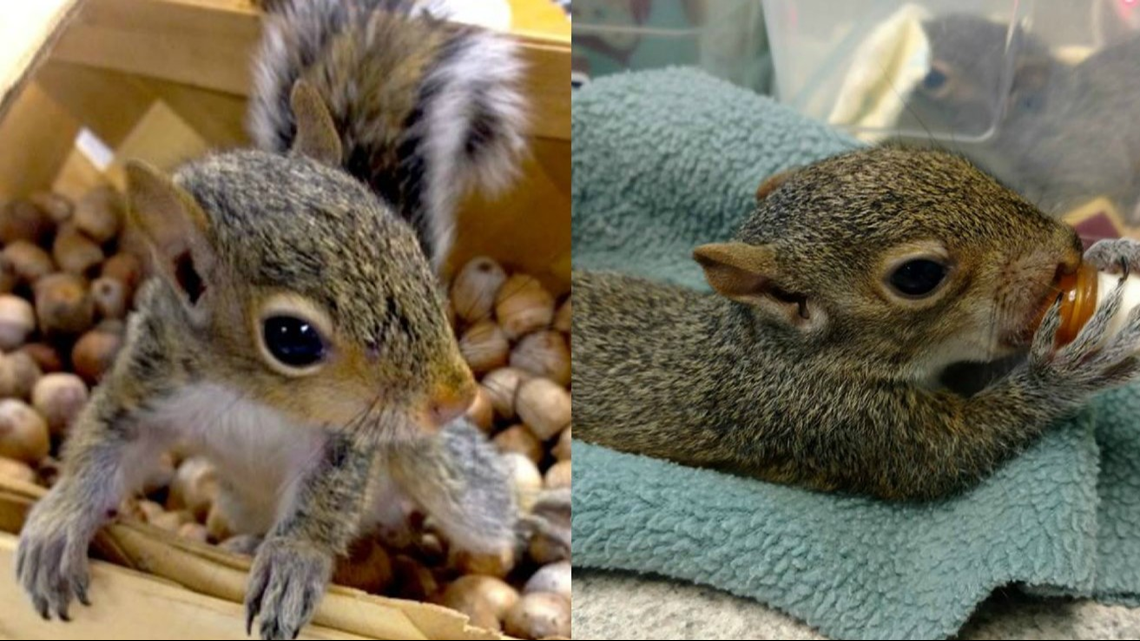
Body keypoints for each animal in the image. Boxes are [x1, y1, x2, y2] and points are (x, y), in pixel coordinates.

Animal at [16, 1, 527, 639]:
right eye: (291, 337)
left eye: (409, 246)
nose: (458, 398)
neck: (254, 399)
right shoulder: (151, 378)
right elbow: (103, 442)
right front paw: (58, 522)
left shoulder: (349, 438)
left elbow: (325, 501)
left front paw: (293, 561)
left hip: (439, 471)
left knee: (480, 514)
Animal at [573, 145, 1140, 501]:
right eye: (917, 275)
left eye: (947, 159)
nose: (1067, 253)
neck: (777, 356)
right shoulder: (843, 426)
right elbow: (957, 451)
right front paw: (1069, 368)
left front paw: (1110, 252)